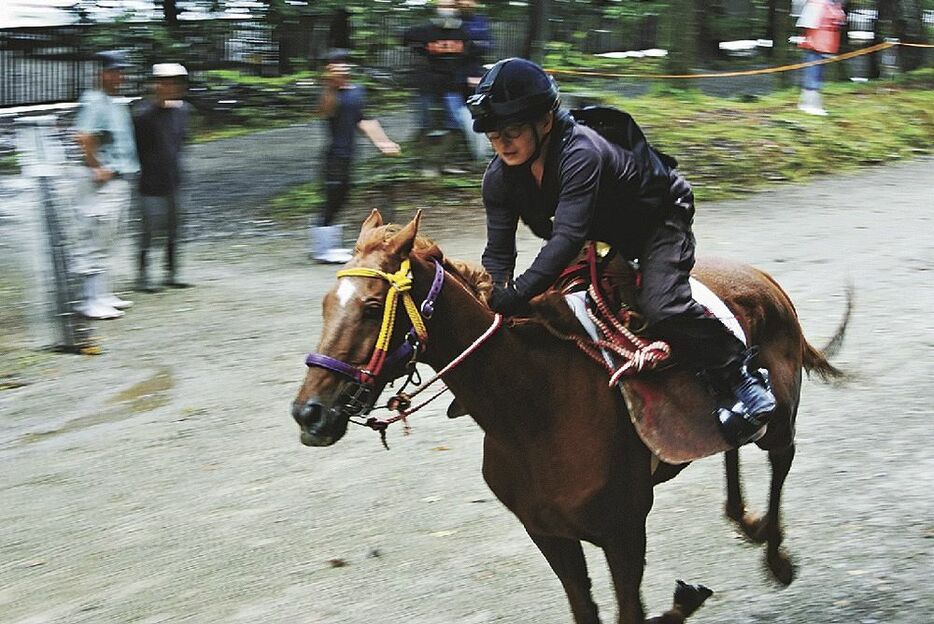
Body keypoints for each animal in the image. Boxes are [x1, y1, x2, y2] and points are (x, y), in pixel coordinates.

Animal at [296, 211, 852, 624]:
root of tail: (763, 279)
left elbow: (630, 612)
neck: (532, 412)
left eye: (373, 308)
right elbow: (587, 609)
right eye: (324, 304)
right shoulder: (550, 535)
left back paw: (774, 553)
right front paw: (684, 598)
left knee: (779, 460)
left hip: (780, 418)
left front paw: (685, 598)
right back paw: (744, 519)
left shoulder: (623, 533)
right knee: (732, 445)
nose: (310, 412)